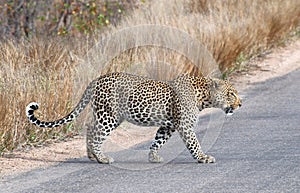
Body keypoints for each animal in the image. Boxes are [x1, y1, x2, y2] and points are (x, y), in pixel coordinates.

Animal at [26, 72, 241, 164]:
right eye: (231, 94)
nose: (240, 104)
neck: (203, 96)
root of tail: (97, 79)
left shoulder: (168, 126)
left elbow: (157, 141)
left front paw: (153, 157)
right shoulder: (184, 126)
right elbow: (194, 143)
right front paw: (203, 158)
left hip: (106, 115)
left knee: (91, 128)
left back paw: (92, 156)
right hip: (109, 116)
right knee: (96, 135)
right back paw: (102, 158)